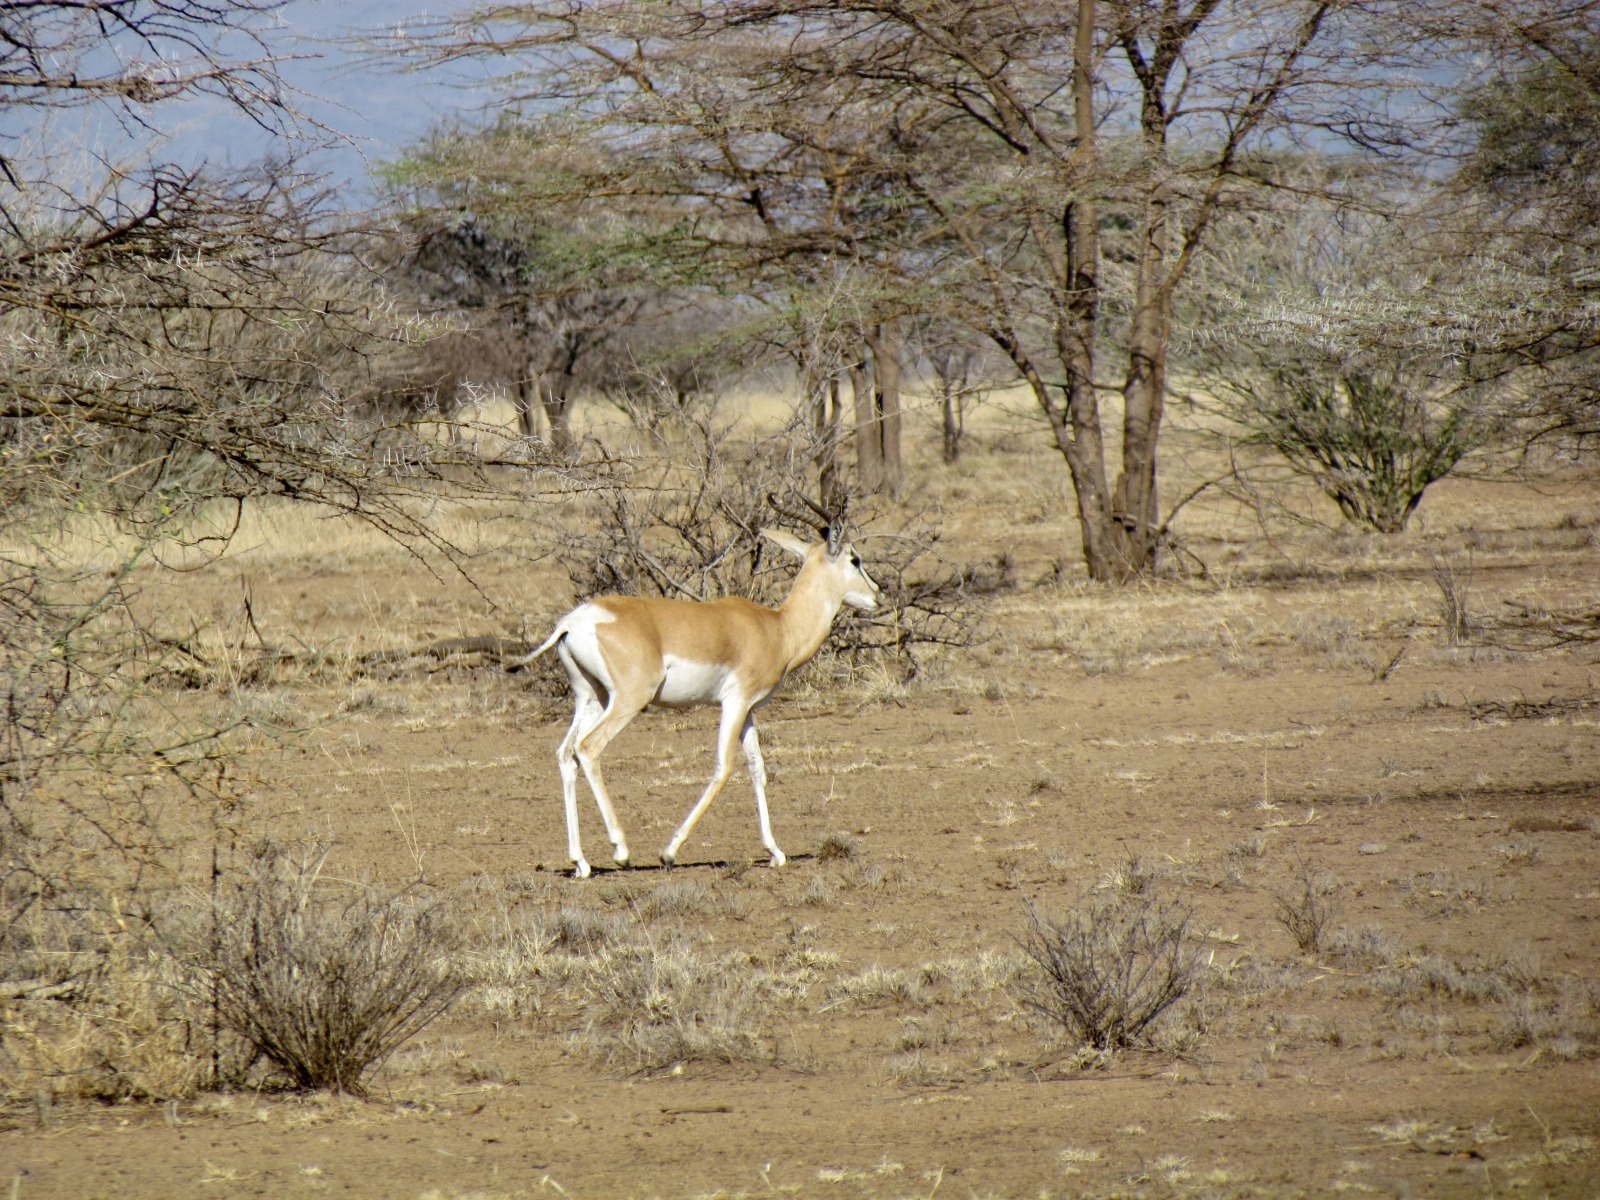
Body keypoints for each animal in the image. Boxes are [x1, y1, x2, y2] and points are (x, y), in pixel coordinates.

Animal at [516, 501, 881, 878]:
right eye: (855, 558)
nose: (878, 595)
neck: (777, 627)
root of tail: (571, 623)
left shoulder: (748, 710)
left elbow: (758, 770)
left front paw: (775, 852)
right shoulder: (734, 702)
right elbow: (723, 768)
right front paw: (669, 852)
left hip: (591, 698)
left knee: (565, 753)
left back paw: (581, 861)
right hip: (628, 701)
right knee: (588, 748)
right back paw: (621, 850)